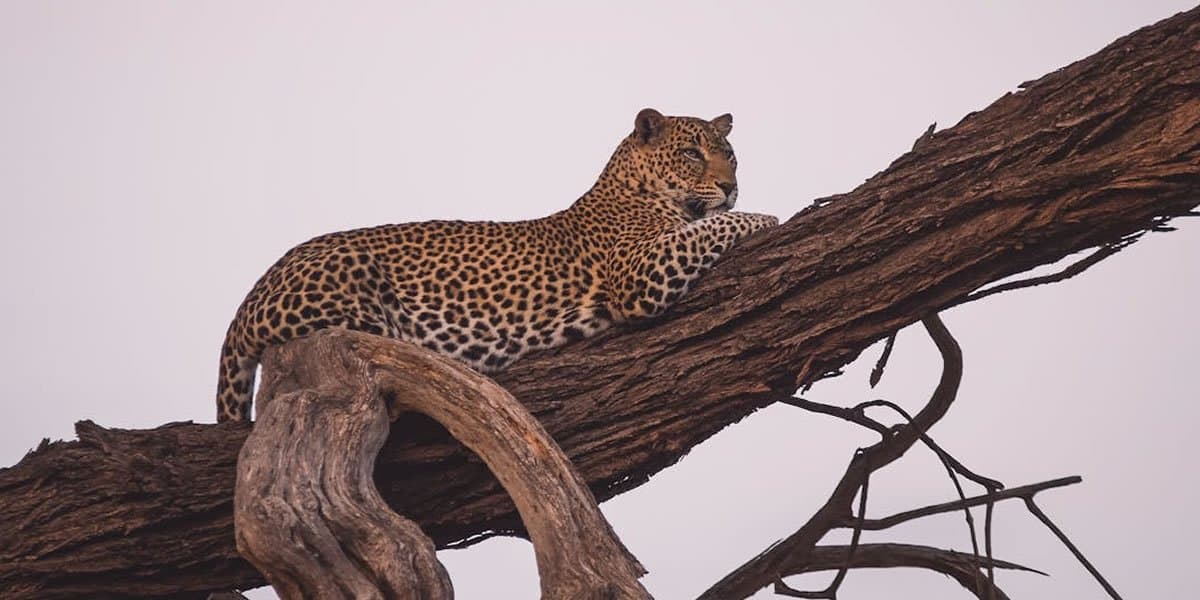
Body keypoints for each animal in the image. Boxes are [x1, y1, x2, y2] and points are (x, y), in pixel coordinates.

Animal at [216, 108, 778, 422]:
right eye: (691, 153)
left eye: (731, 155)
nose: (730, 185)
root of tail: (248, 299)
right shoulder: (638, 270)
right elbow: (709, 228)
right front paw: (767, 217)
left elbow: (707, 224)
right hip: (349, 278)